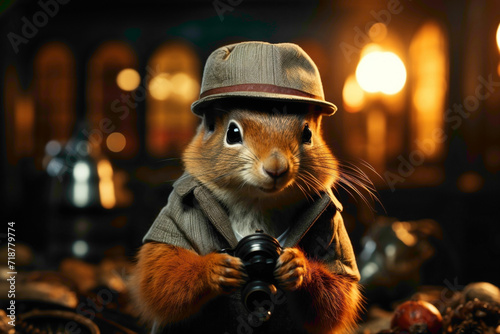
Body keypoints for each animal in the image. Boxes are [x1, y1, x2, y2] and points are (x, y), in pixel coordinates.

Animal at [131, 41, 366, 334]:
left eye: (308, 134)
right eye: (232, 133)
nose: (276, 167)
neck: (256, 203)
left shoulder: (333, 230)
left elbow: (338, 293)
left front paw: (297, 266)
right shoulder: (174, 215)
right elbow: (159, 273)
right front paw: (214, 269)